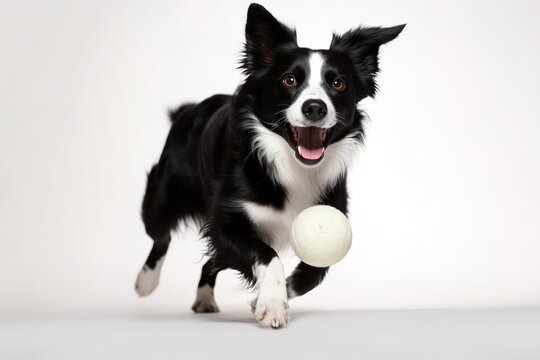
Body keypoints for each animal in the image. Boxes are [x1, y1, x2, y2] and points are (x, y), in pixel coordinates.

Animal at [136, 3, 404, 330]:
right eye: (289, 80)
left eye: (338, 83)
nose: (315, 108)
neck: (292, 165)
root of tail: (186, 111)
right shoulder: (227, 223)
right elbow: (268, 255)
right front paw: (273, 303)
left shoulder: (333, 212)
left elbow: (316, 271)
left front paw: (271, 296)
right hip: (163, 195)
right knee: (161, 235)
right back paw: (146, 281)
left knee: (210, 260)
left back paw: (205, 299)